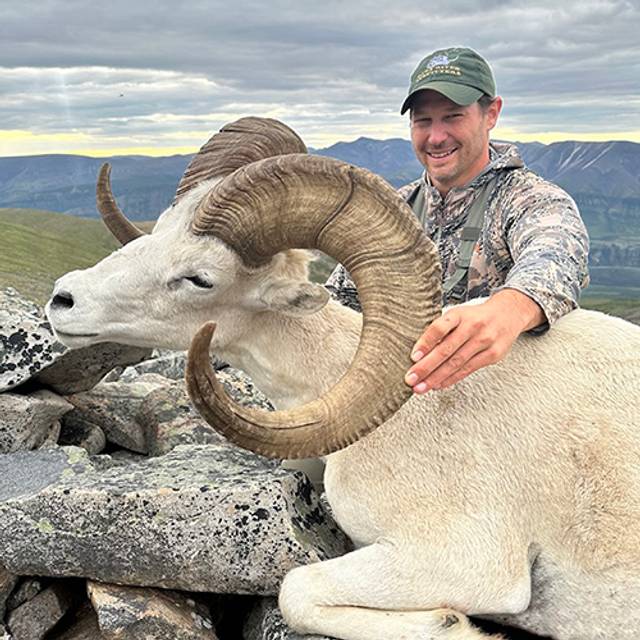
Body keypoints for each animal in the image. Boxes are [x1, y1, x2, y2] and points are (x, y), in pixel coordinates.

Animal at [46, 117, 640, 640]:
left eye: (200, 278)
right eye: (162, 228)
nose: (63, 299)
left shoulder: (468, 563)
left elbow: (296, 590)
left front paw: (451, 625)